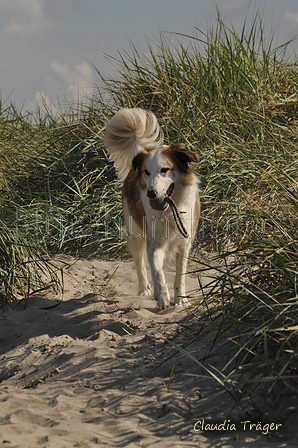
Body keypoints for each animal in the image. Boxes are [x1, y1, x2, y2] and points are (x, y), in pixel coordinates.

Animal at [105, 107, 200, 310]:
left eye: (164, 170)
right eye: (147, 172)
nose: (151, 193)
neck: (169, 211)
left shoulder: (184, 243)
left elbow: (180, 275)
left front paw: (180, 299)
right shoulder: (154, 243)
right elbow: (157, 271)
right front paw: (163, 296)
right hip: (134, 232)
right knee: (139, 262)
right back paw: (145, 290)